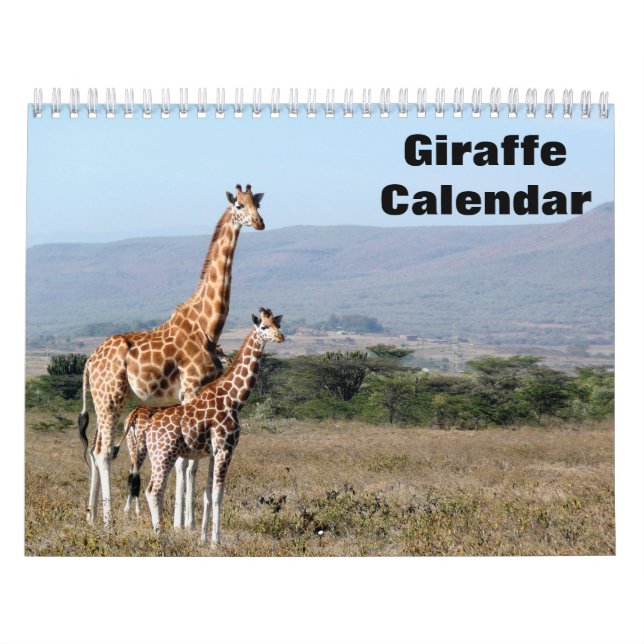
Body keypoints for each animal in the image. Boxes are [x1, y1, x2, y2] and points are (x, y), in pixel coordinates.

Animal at [78, 184, 265, 525]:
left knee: (97, 448)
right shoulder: (191, 388)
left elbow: (187, 461)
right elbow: (186, 462)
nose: (259, 223)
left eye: (258, 204)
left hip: (103, 399)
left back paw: (91, 518)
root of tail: (88, 362)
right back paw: (109, 522)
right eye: (239, 206)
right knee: (103, 452)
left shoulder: (192, 395)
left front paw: (183, 521)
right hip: (112, 396)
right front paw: (185, 524)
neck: (208, 324)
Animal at [127, 308, 285, 545]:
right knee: (153, 490)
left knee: (150, 488)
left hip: (154, 455)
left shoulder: (213, 452)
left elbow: (208, 494)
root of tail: (147, 428)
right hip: (164, 454)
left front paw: (203, 538)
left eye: (278, 324)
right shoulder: (225, 448)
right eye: (264, 327)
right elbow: (219, 494)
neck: (233, 399)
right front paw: (215, 542)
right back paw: (160, 535)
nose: (280, 337)